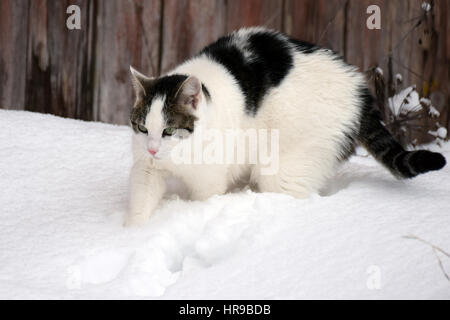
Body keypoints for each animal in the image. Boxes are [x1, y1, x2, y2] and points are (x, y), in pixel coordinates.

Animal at [125, 28, 444, 228]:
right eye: (142, 128)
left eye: (169, 131)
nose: (152, 149)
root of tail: (360, 89)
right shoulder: (146, 169)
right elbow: (140, 204)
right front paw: (135, 235)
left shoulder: (208, 183)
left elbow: (204, 199)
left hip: (284, 168)